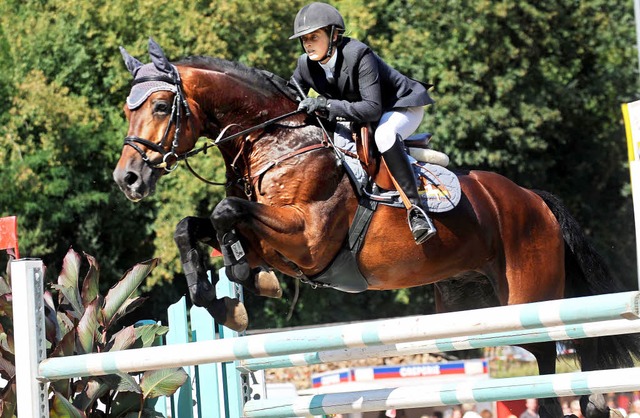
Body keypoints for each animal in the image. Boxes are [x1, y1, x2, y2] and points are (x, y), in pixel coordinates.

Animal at [115, 39, 640, 418]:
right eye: (126, 109)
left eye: (160, 107)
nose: (128, 179)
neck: (276, 141)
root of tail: (535, 199)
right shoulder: (270, 240)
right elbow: (191, 227)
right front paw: (229, 299)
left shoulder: (307, 240)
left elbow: (225, 212)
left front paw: (246, 283)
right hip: (469, 299)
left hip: (528, 299)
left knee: (558, 350)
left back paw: (581, 399)